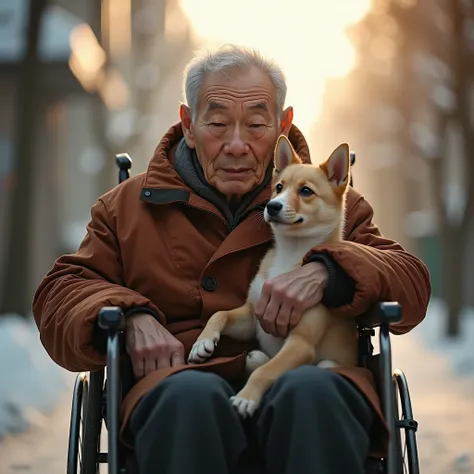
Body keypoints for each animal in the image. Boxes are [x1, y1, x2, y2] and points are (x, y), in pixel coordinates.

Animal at [187, 134, 358, 418]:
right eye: (278, 187)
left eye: (306, 191)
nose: (272, 206)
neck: (290, 254)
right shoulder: (252, 316)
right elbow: (219, 314)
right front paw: (203, 342)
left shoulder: (300, 343)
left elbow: (266, 372)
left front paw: (246, 398)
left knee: (319, 366)